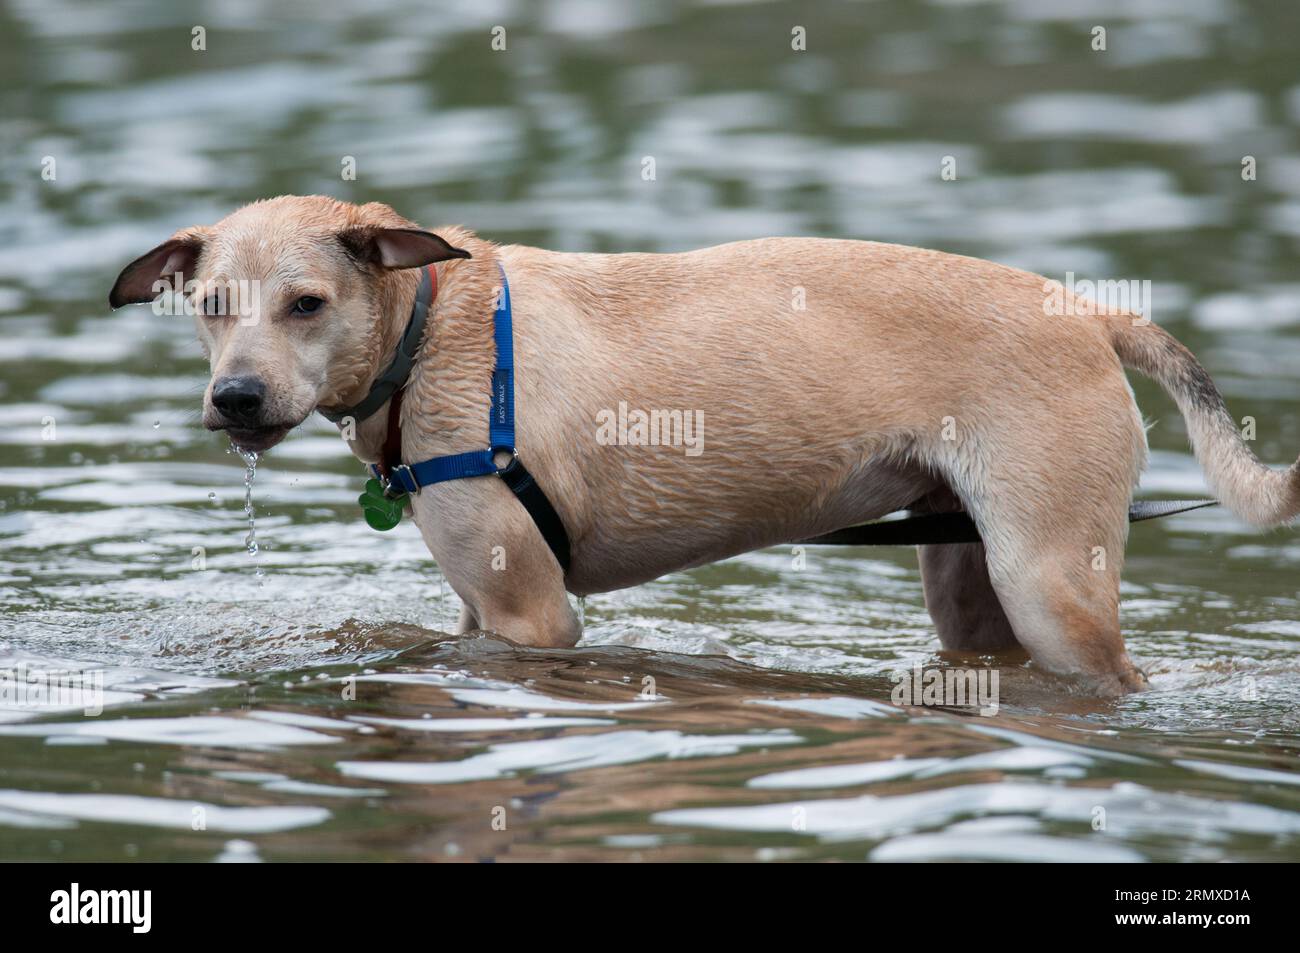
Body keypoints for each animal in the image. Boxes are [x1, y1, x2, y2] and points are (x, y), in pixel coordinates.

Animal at [114, 197, 1300, 696]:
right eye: (212, 306)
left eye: (307, 304)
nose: (235, 397)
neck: (430, 327)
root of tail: (1089, 312)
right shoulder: (477, 605)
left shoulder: (532, 618)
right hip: (970, 577)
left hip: (1051, 582)